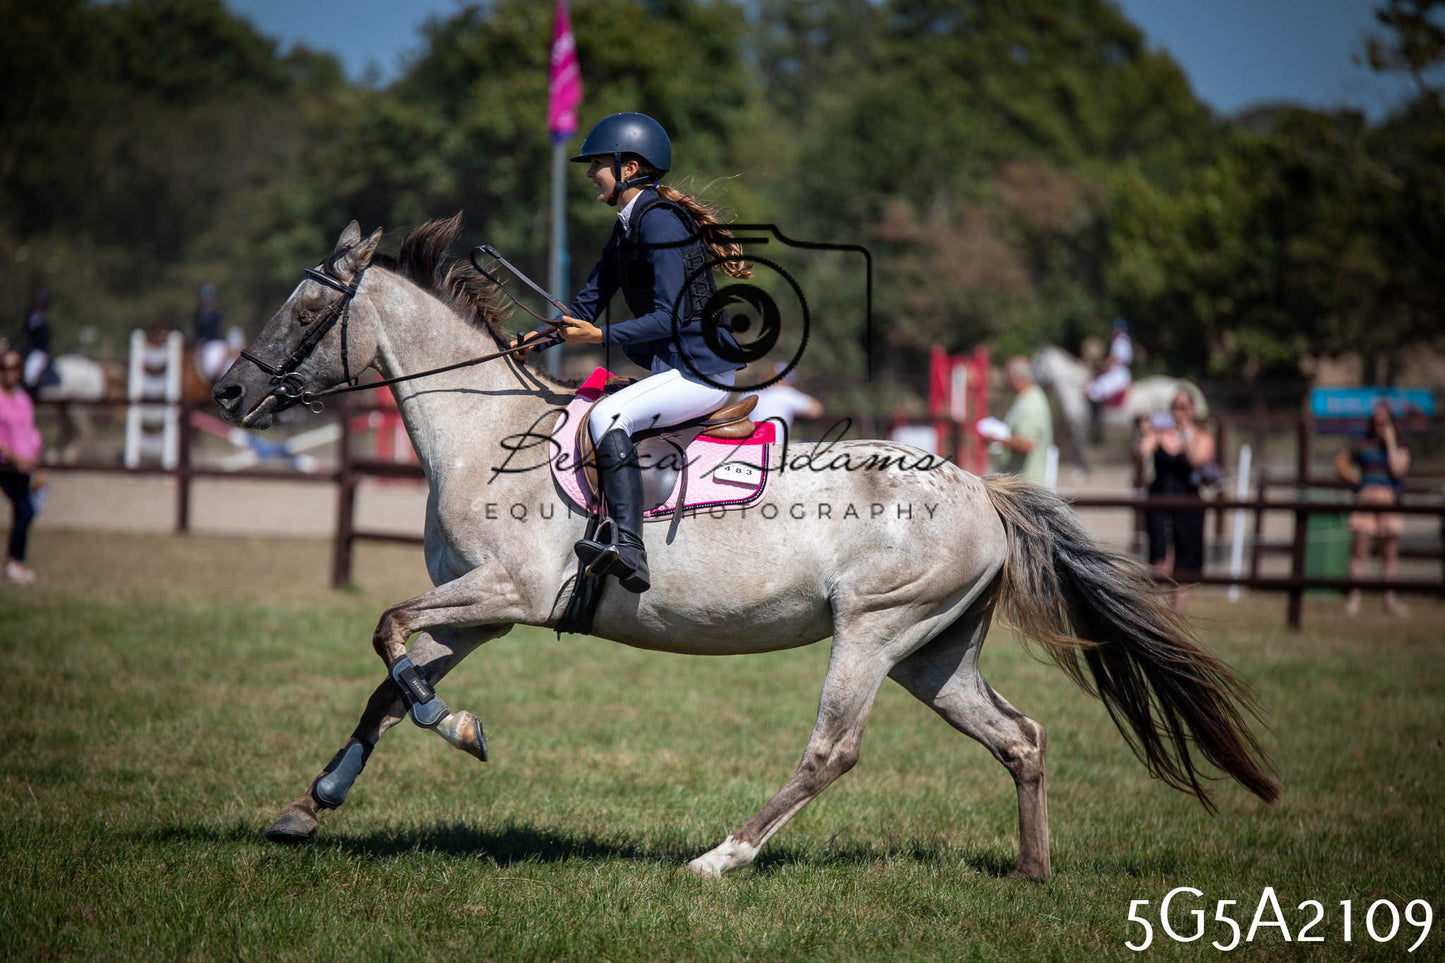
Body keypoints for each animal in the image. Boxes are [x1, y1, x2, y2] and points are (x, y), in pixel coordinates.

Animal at [1032, 345, 1209, 472]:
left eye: (1037, 362)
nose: (1031, 377)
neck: (1074, 387)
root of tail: (1177, 383)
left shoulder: (1079, 424)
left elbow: (1079, 446)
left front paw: (1083, 471)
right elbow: (1079, 446)